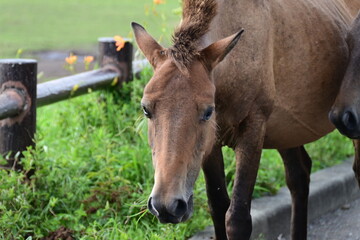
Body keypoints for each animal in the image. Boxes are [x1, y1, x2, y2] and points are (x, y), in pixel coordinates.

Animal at [132, 0, 360, 240]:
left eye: (208, 111)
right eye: (146, 109)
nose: (166, 205)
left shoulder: (253, 131)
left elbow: (237, 218)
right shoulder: (211, 145)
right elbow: (218, 208)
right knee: (299, 176)